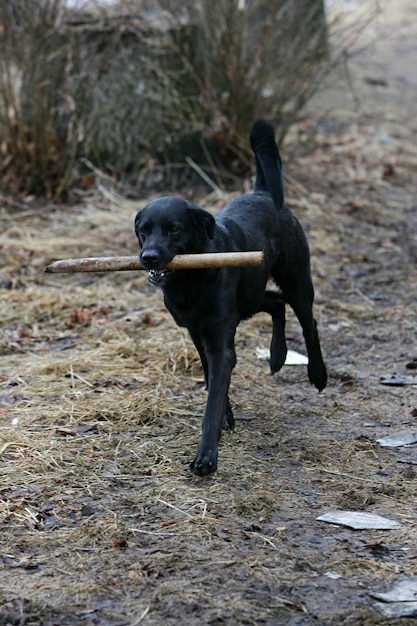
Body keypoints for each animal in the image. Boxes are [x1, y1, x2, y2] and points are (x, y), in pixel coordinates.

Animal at [135, 119, 326, 476]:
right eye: (143, 229)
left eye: (173, 228)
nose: (148, 257)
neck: (190, 281)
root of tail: (264, 194)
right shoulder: (199, 334)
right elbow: (213, 383)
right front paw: (227, 417)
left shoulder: (220, 341)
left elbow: (212, 400)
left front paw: (206, 457)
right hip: (250, 296)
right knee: (275, 303)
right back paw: (278, 355)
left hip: (296, 281)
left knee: (308, 321)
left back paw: (318, 374)